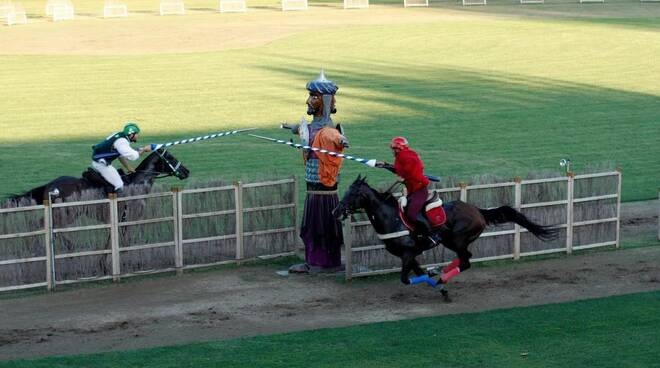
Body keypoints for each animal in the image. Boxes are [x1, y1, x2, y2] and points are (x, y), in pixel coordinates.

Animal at [336, 175, 556, 300]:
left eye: (352, 193)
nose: (335, 211)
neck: (391, 217)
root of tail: (478, 211)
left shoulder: (408, 253)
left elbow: (405, 279)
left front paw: (440, 285)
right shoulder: (409, 255)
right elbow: (418, 274)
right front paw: (439, 286)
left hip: (458, 238)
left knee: (466, 261)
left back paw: (442, 275)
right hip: (451, 240)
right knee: (465, 257)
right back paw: (438, 272)